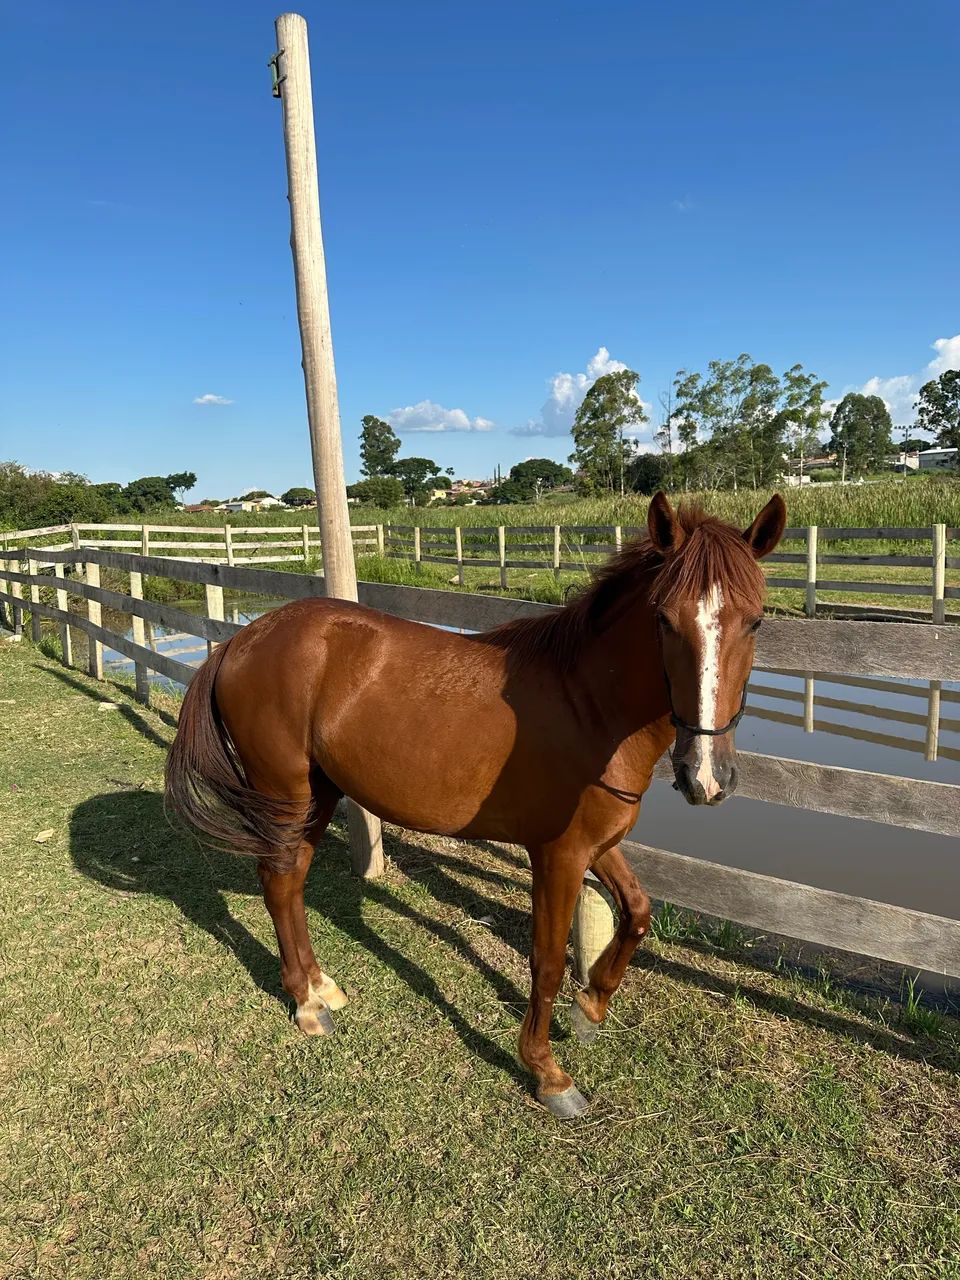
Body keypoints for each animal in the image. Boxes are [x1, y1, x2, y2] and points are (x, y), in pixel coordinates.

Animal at [165, 490, 786, 1118]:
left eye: (755, 620)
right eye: (663, 619)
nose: (705, 777)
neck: (588, 706)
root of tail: (244, 638)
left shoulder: (594, 843)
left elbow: (637, 913)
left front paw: (591, 1008)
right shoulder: (558, 855)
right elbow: (547, 961)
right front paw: (547, 1072)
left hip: (318, 795)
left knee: (291, 883)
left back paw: (321, 989)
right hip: (285, 794)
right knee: (276, 881)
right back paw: (305, 1004)